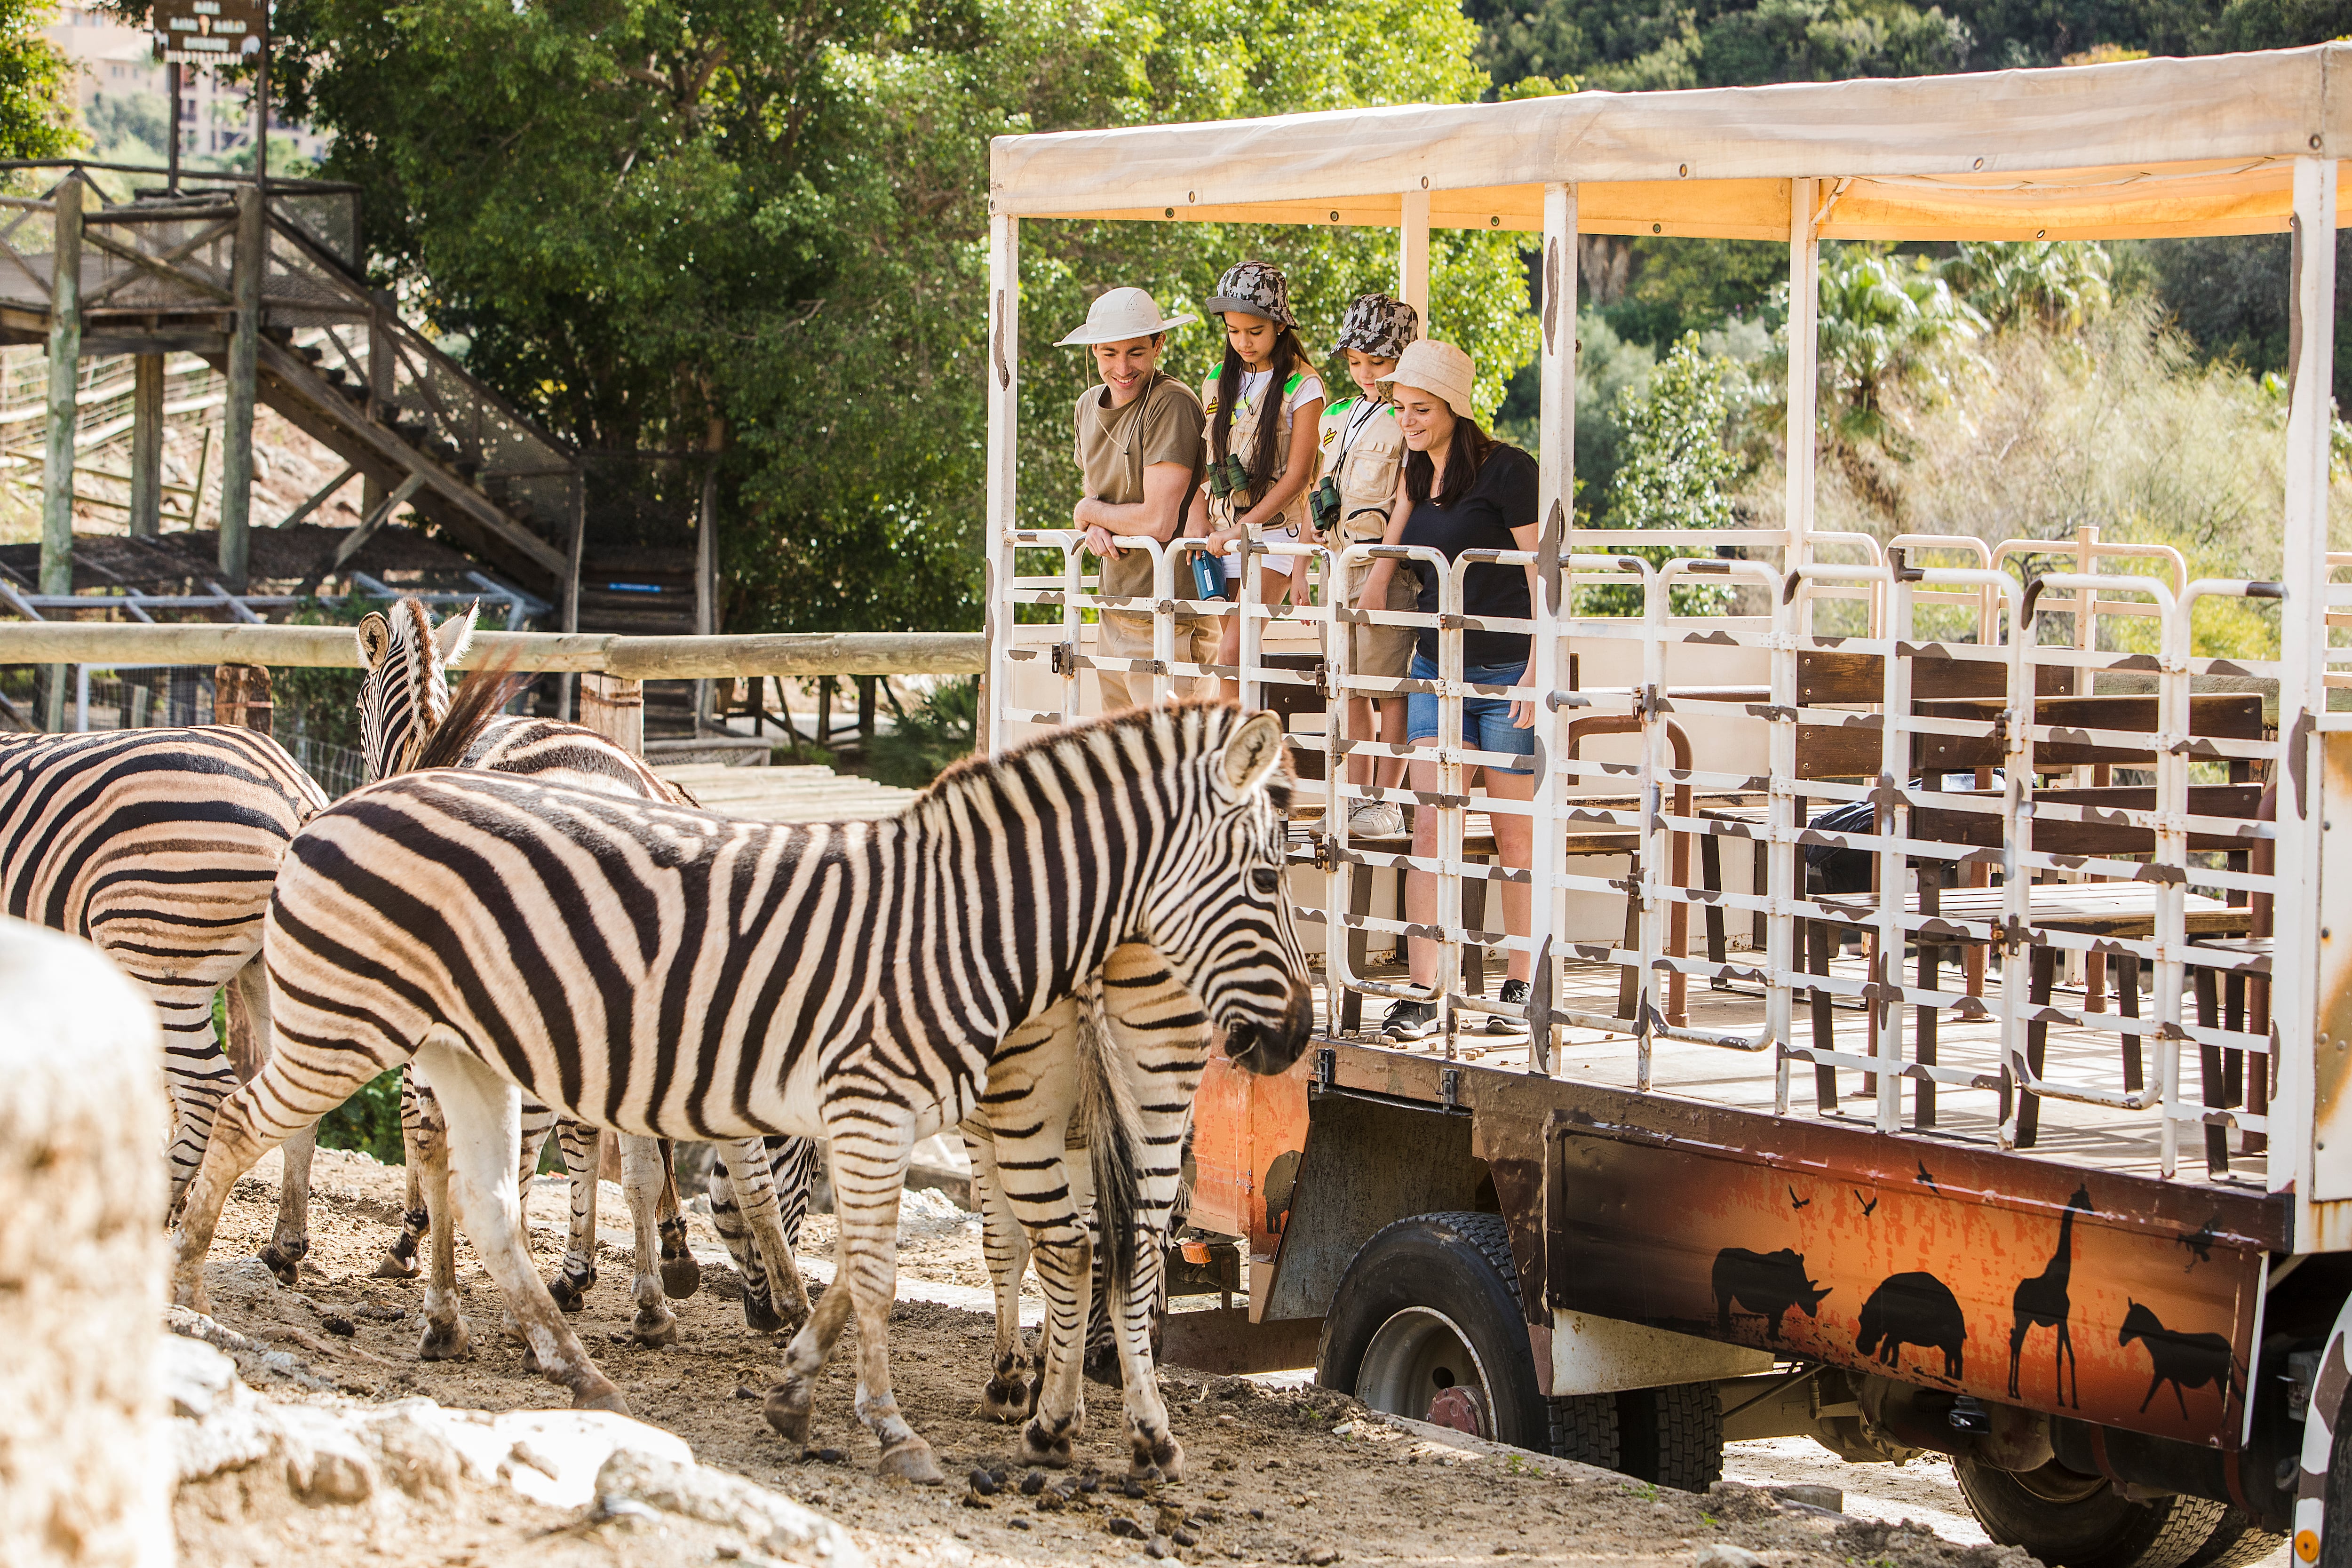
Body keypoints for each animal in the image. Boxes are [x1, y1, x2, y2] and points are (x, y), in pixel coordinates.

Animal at [960, 945, 1214, 1486]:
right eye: (1180, 1222)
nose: (1116, 1368)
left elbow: (1006, 1246)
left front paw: (1014, 1381)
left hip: (1024, 1102)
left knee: (1063, 1247)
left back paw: (1051, 1429)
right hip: (1155, 1093)